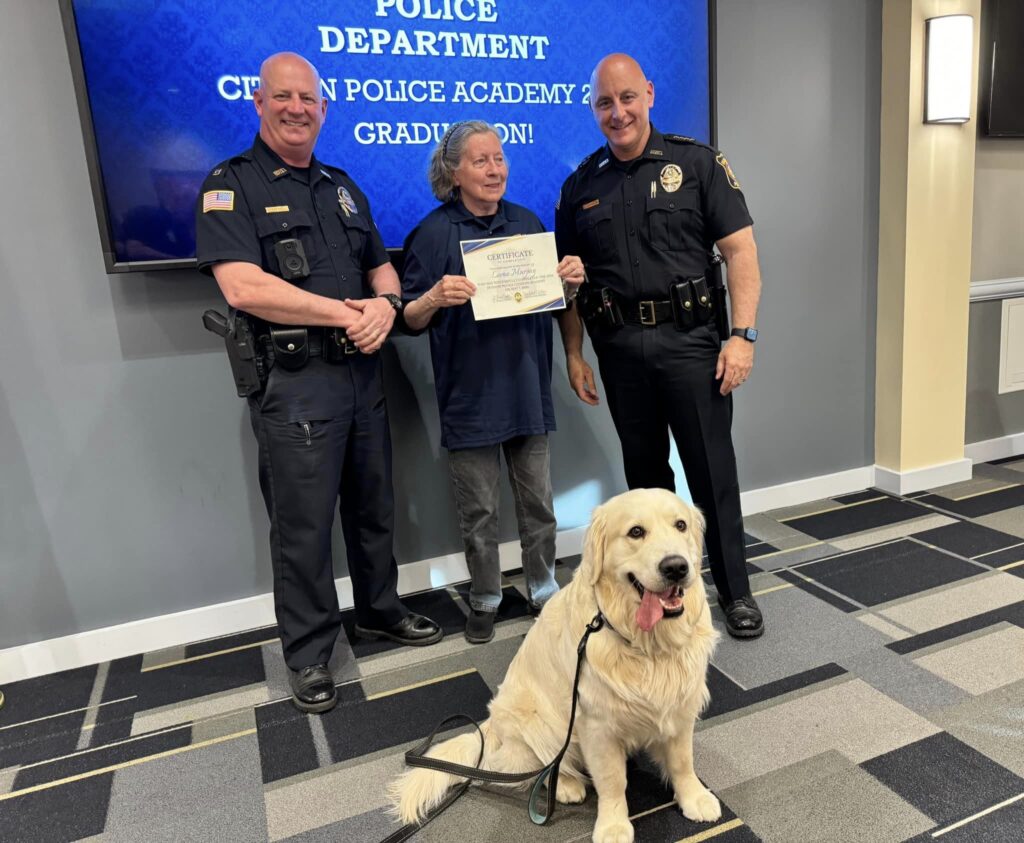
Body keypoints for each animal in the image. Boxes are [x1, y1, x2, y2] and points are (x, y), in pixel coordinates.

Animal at [389, 487, 720, 843]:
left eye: (681, 525)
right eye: (635, 532)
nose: (676, 567)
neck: (646, 642)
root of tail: (490, 725)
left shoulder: (680, 704)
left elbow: (682, 761)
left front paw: (694, 797)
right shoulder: (597, 726)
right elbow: (612, 781)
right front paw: (613, 825)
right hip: (540, 722)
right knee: (544, 765)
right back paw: (566, 786)